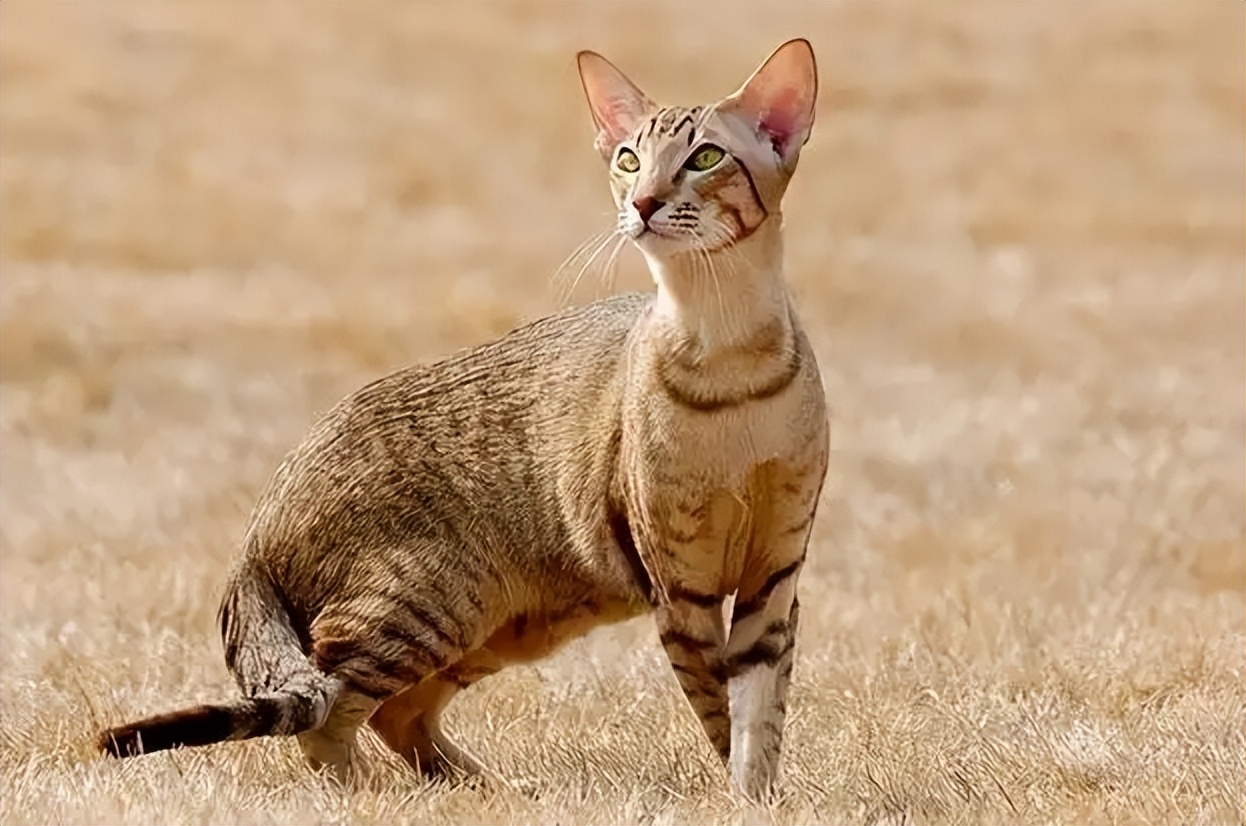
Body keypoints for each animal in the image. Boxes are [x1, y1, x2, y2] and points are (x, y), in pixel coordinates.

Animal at [99, 38, 827, 802]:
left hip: (508, 620)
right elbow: (719, 710)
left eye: (706, 157)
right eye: (630, 160)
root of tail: (252, 537)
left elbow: (759, 713)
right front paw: (742, 801)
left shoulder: (773, 574)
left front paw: (763, 800)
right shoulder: (680, 587)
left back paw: (494, 790)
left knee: (392, 713)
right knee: (326, 711)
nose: (644, 202)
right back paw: (375, 798)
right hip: (427, 601)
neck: (727, 354)